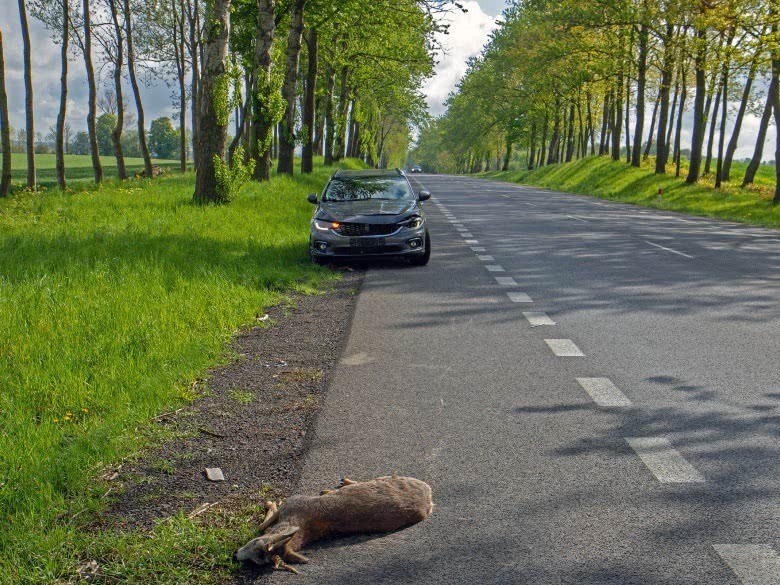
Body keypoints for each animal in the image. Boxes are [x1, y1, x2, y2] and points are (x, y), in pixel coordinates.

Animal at [235, 474, 436, 572]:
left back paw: (340, 484)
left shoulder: (292, 502)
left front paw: (269, 502)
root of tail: (429, 497)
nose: (235, 556)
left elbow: (262, 524)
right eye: (257, 562)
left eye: (256, 547)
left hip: (388, 478)